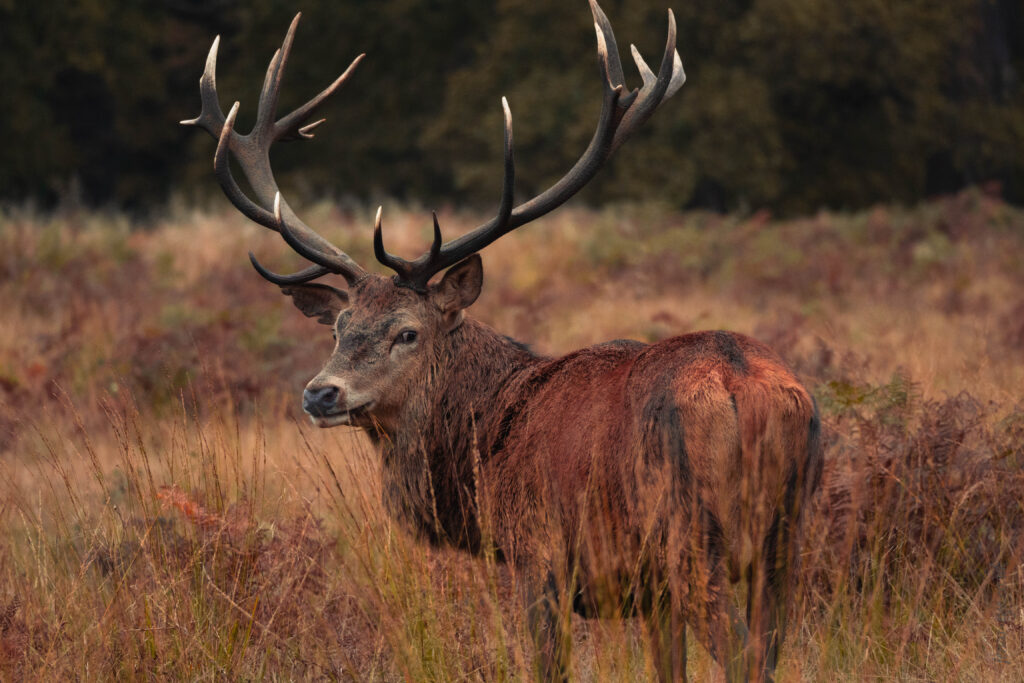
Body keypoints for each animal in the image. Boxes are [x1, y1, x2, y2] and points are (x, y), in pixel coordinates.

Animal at [184, 2, 823, 679]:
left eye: (407, 332)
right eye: (339, 327)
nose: (320, 394)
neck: (485, 441)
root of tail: (745, 388)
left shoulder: (537, 552)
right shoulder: (649, 596)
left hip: (689, 535)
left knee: (744, 652)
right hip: (785, 538)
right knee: (770, 643)